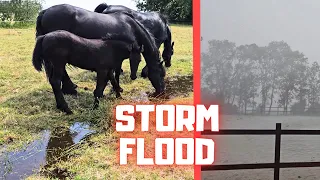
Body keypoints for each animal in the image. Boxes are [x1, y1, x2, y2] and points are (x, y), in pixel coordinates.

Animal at [35, 3, 165, 95]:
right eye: (161, 74)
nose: (162, 91)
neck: (131, 27)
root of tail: (45, 11)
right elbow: (116, 72)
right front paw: (116, 88)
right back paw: (71, 89)